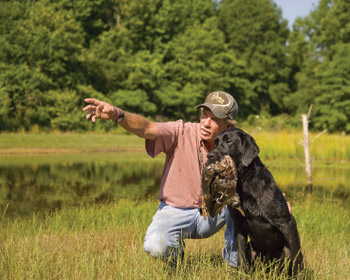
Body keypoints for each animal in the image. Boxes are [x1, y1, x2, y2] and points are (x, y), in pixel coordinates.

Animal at [205, 129, 304, 276]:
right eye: (215, 143)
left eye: (229, 141)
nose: (209, 156)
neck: (244, 184)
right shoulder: (239, 226)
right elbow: (241, 257)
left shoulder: (288, 223)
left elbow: (297, 257)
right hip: (251, 249)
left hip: (284, 251)